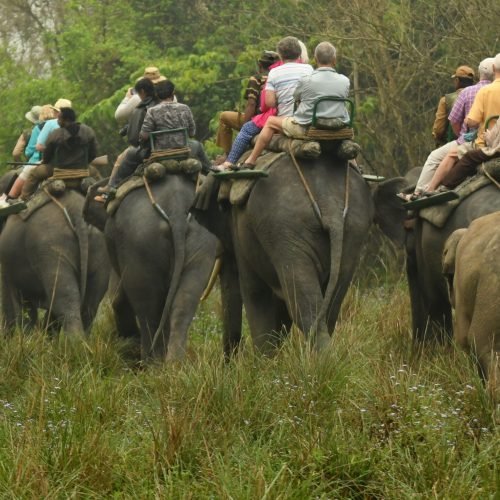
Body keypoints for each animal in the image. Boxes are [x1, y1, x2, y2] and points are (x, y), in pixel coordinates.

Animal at [83, 170, 217, 362]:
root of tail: (176, 208)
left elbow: (117, 296)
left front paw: (129, 342)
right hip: (202, 239)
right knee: (184, 302)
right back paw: (174, 363)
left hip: (139, 242)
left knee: (147, 306)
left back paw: (150, 361)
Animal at [191, 146, 402, 356]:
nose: (230, 360)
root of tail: (330, 205)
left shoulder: (243, 230)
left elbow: (255, 291)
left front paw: (264, 362)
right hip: (351, 230)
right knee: (330, 303)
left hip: (284, 227)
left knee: (303, 303)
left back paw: (319, 362)